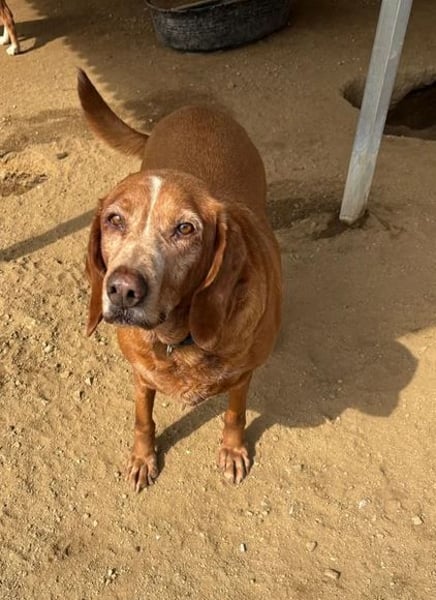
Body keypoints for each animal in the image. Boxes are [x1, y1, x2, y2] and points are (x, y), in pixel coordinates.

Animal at [78, 70, 282, 491]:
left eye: (185, 229)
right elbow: (143, 419)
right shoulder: (141, 377)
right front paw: (143, 458)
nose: (123, 290)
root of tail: (196, 109)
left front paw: (233, 450)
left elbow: (235, 414)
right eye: (114, 220)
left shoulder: (243, 376)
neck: (177, 341)